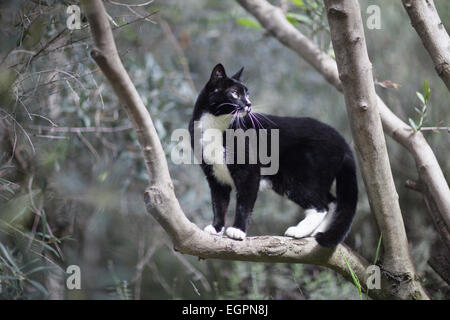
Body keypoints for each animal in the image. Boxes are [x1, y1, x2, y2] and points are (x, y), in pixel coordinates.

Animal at [188, 63, 356, 246]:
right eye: (234, 93)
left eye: (247, 93)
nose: (249, 104)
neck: (216, 126)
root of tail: (341, 141)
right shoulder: (214, 176)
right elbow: (219, 204)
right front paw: (216, 228)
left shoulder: (249, 172)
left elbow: (244, 203)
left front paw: (237, 231)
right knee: (331, 201)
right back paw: (316, 232)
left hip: (300, 177)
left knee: (321, 206)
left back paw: (299, 231)